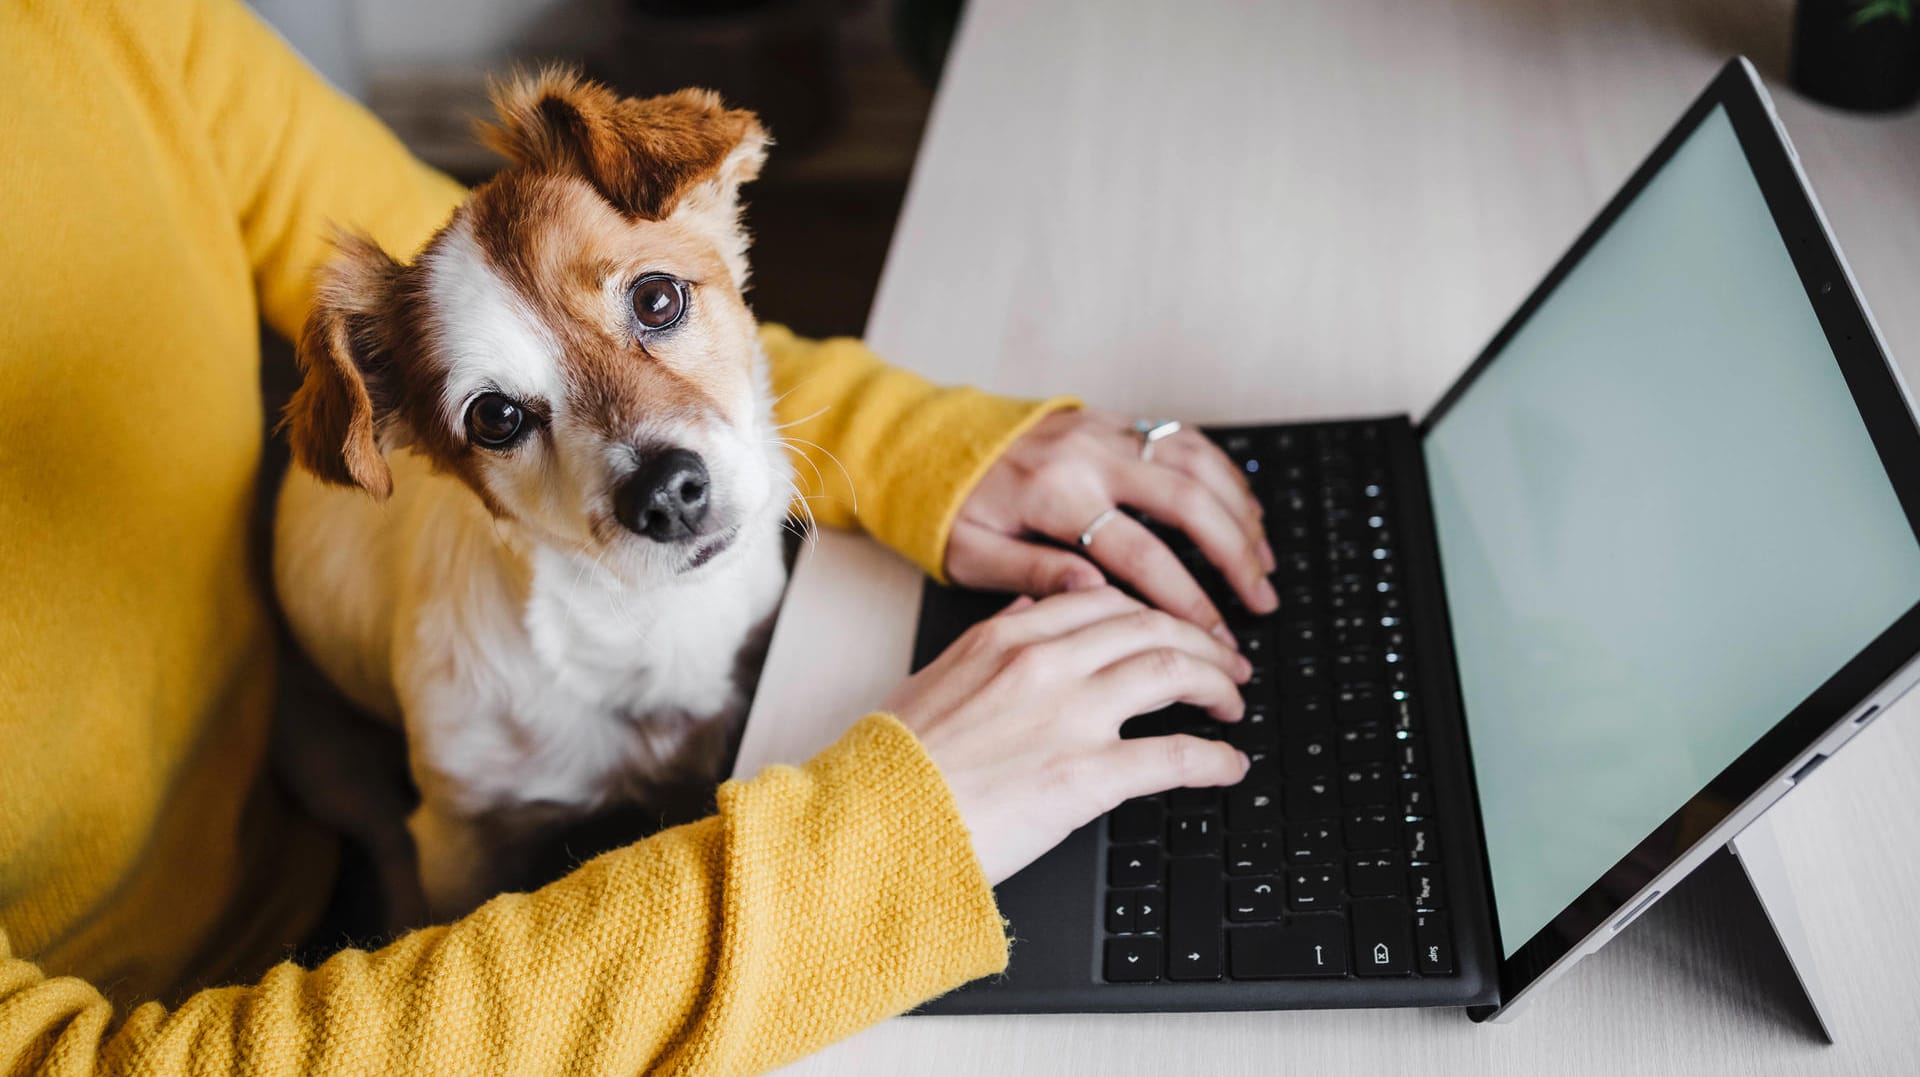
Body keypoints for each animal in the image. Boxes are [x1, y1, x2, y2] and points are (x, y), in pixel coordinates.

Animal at [270, 71, 787, 921]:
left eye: (657, 299)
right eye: (496, 417)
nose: (665, 494)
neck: (644, 619)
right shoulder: (460, 836)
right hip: (334, 763)